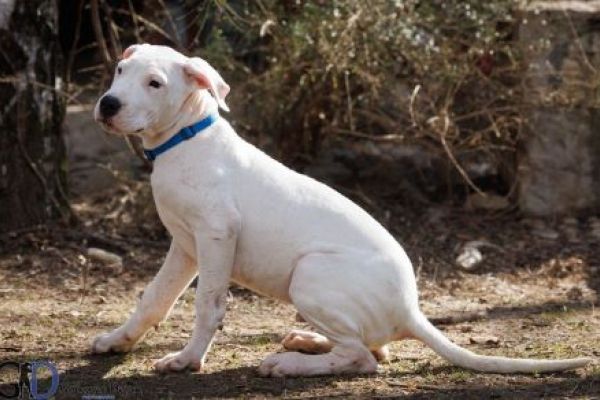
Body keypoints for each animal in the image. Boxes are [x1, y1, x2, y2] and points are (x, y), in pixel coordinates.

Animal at [92, 44, 592, 378]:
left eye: (155, 83)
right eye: (119, 69)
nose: (108, 104)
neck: (185, 139)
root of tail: (410, 309)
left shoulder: (216, 234)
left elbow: (207, 304)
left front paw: (187, 360)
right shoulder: (186, 244)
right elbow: (153, 298)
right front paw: (118, 340)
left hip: (309, 275)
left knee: (363, 357)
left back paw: (290, 363)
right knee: (374, 347)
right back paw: (306, 340)